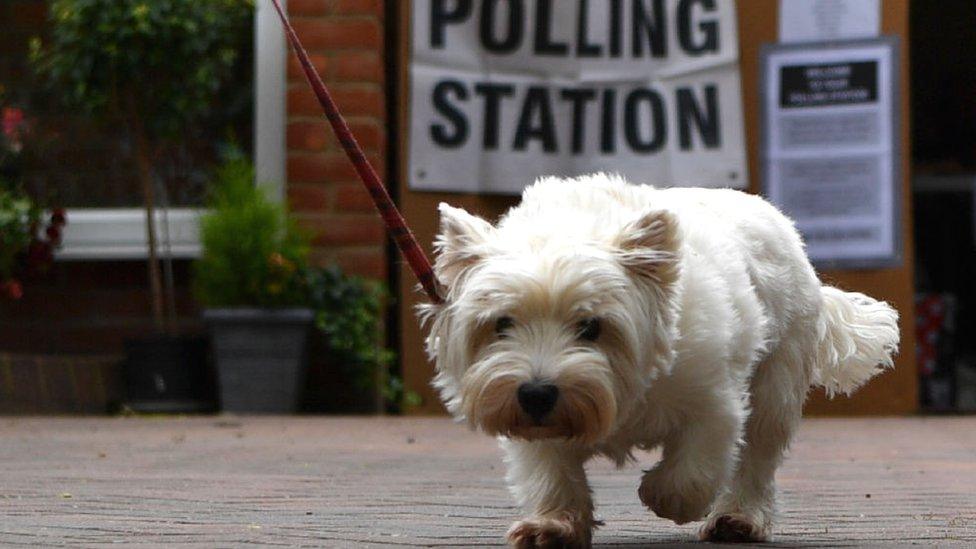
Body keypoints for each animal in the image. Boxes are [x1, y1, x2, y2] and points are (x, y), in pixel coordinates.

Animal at [420, 173, 900, 544]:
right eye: (502, 324)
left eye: (591, 326)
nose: (536, 393)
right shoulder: (537, 426)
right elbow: (550, 472)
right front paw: (552, 525)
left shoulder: (714, 400)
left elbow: (693, 470)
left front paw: (663, 495)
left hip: (776, 379)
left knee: (759, 453)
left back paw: (738, 519)